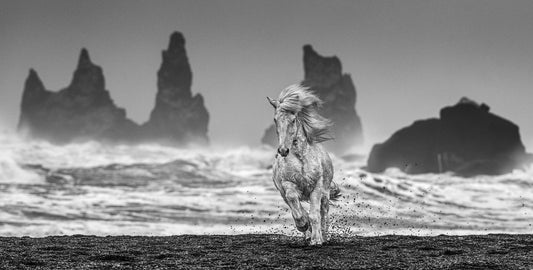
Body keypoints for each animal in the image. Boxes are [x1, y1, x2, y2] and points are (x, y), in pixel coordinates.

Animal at [266, 85, 340, 246]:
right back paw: (307, 233)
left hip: (325, 194)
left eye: (293, 120)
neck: (301, 158)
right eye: (275, 119)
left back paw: (324, 236)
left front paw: (317, 240)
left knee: (324, 212)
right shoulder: (288, 185)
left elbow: (315, 215)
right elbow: (298, 208)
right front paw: (303, 225)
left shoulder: (316, 187)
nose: (283, 150)